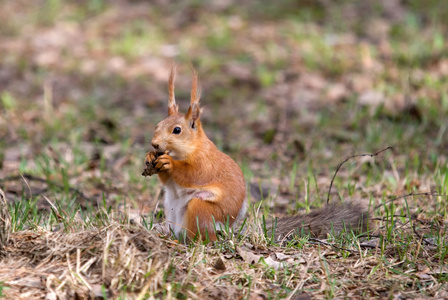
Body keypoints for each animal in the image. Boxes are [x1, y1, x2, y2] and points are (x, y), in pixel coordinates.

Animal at [143, 67, 368, 243]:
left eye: (177, 130)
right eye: (156, 125)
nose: (155, 144)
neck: (188, 149)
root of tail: (226, 230)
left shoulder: (206, 162)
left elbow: (193, 174)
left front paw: (169, 163)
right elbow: (168, 181)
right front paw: (150, 157)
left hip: (202, 209)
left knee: (204, 237)